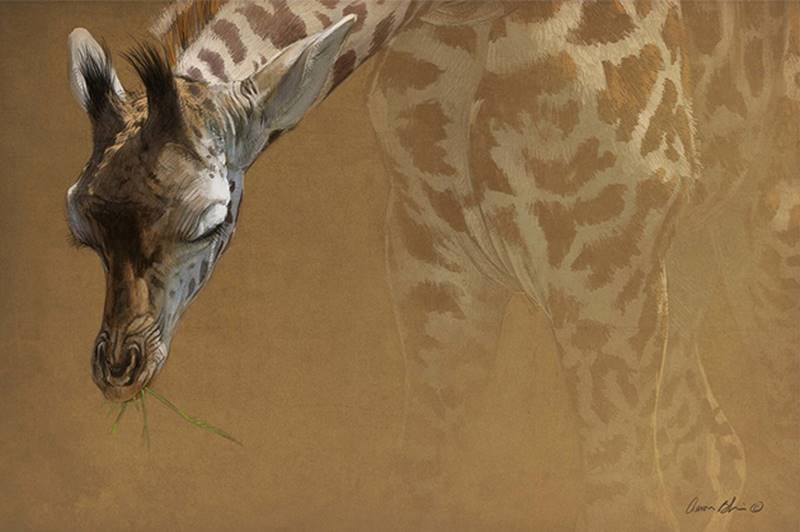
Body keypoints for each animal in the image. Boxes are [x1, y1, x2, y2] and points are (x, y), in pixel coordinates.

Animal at [62, 1, 794, 530]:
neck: (458, 15)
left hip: (761, 238)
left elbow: (625, 497)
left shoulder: (600, 265)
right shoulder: (436, 271)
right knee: (714, 448)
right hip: (684, 261)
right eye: (82, 227)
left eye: (210, 220)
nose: (118, 368)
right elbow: (422, 481)